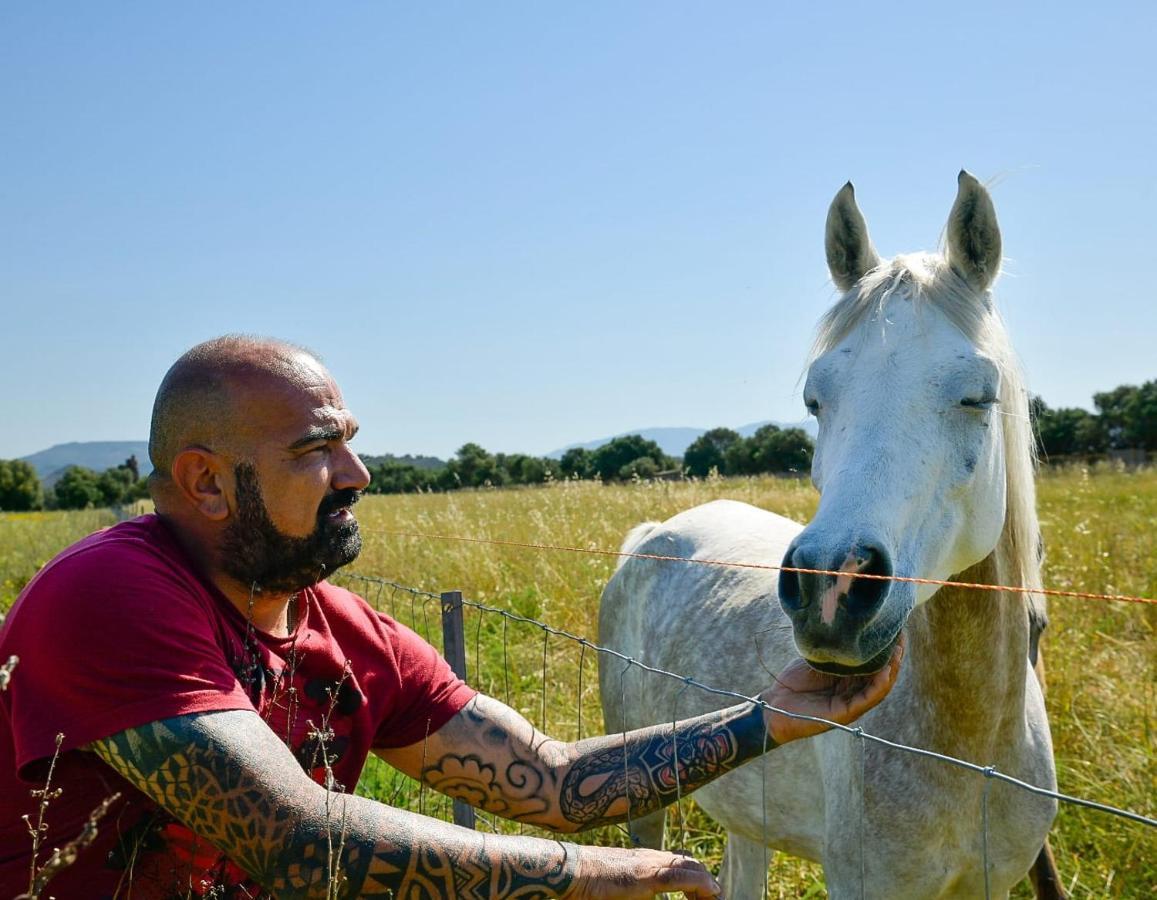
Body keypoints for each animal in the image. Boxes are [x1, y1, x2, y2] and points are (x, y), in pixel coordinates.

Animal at [601, 172, 1059, 893]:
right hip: (640, 791)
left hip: (745, 812)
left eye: (977, 396)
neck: (975, 745)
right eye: (815, 400)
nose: (831, 588)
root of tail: (656, 532)